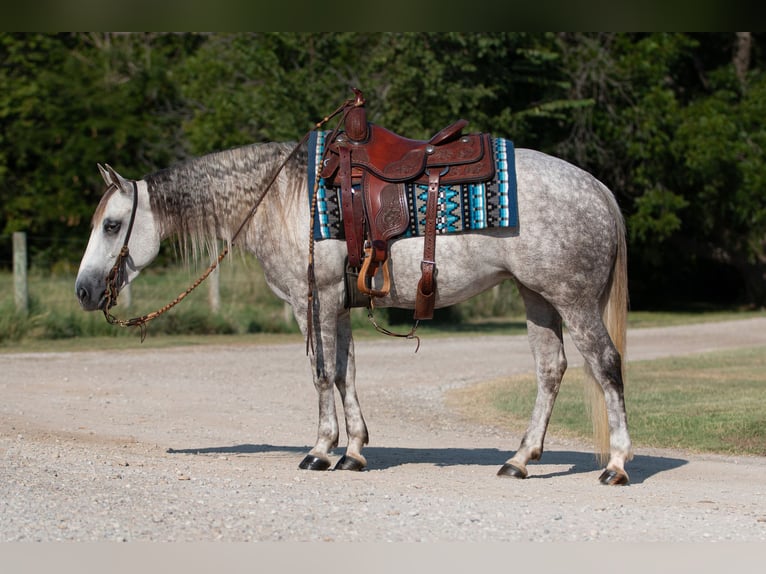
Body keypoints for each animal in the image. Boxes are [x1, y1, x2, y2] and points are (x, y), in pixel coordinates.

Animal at [75, 140, 632, 486]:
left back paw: (617, 465)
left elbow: (322, 375)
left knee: (606, 365)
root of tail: (599, 189)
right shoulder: (337, 306)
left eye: (112, 224)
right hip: (537, 298)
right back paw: (519, 460)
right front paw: (355, 451)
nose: (83, 291)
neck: (281, 200)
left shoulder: (314, 302)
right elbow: (346, 373)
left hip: (573, 300)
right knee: (551, 370)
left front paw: (321, 451)